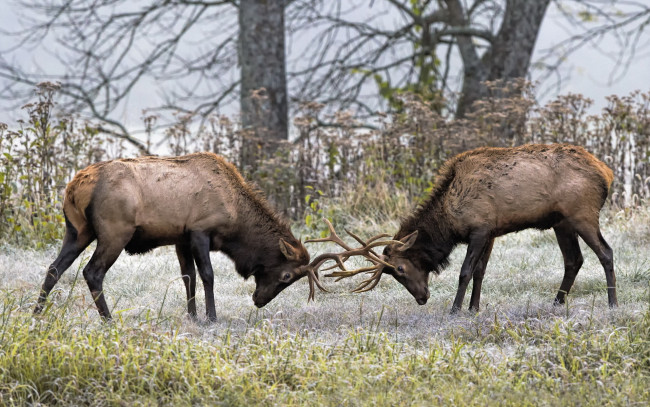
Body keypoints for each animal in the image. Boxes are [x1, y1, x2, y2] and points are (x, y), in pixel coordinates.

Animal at [34, 153, 330, 322]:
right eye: (287, 276)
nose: (258, 300)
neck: (236, 216)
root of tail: (74, 187)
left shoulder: (181, 238)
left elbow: (188, 276)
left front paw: (193, 315)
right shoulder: (200, 230)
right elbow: (207, 275)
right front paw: (211, 317)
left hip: (77, 231)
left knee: (54, 268)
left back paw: (36, 313)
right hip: (114, 231)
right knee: (92, 272)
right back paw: (108, 320)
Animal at [326, 145, 616, 314]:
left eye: (399, 268)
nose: (421, 298)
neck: (448, 223)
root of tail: (607, 173)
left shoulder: (479, 228)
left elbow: (465, 271)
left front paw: (455, 309)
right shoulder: (491, 232)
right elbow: (480, 271)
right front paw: (474, 308)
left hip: (582, 213)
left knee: (606, 252)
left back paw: (612, 303)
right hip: (560, 222)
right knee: (574, 260)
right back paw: (556, 302)